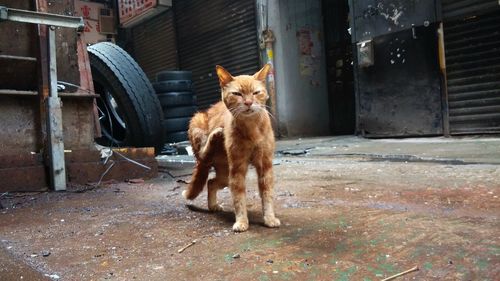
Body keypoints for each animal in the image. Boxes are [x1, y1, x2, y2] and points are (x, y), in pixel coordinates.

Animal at [182, 64, 280, 231]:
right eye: (237, 94)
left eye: (256, 93)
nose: (248, 102)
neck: (251, 129)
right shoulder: (237, 168)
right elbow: (238, 197)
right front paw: (241, 221)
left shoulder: (265, 165)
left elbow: (267, 194)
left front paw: (269, 218)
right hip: (197, 121)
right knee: (203, 154)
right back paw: (215, 134)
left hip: (224, 175)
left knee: (211, 182)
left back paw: (212, 206)